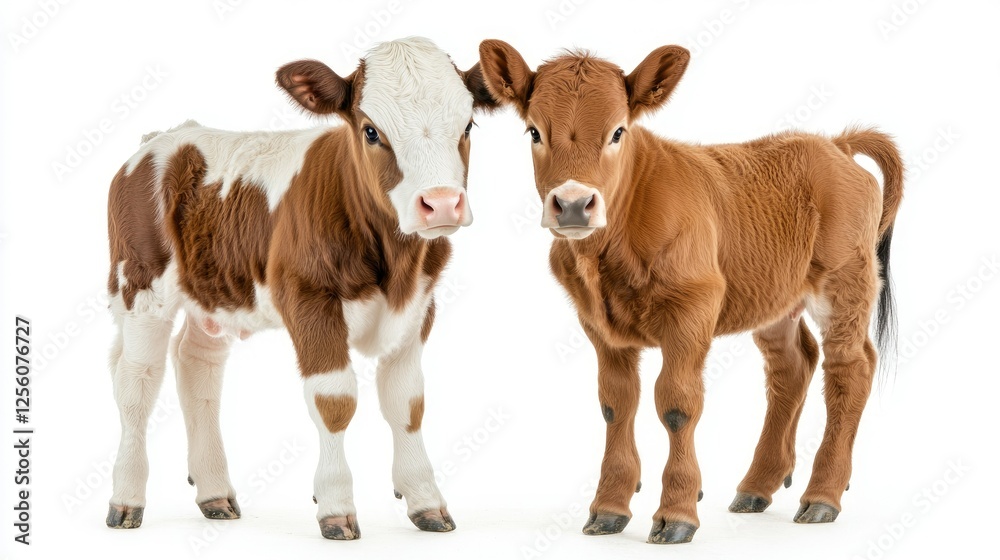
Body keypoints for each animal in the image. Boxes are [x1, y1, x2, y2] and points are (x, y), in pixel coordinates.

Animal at [105, 37, 496, 540]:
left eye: (468, 125)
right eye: (371, 131)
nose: (442, 204)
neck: (395, 265)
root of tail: (160, 139)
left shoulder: (420, 305)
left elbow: (406, 403)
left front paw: (425, 500)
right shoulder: (309, 300)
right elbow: (334, 401)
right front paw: (335, 506)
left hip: (214, 292)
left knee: (197, 367)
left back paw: (214, 495)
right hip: (140, 285)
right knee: (136, 383)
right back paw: (126, 501)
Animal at [478, 39, 903, 544]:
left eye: (618, 131)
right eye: (534, 132)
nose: (575, 204)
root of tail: (833, 143)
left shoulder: (692, 308)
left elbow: (677, 404)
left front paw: (677, 512)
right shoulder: (598, 323)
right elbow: (616, 404)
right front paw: (609, 508)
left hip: (844, 281)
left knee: (849, 368)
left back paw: (822, 495)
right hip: (774, 295)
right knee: (792, 365)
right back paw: (757, 486)